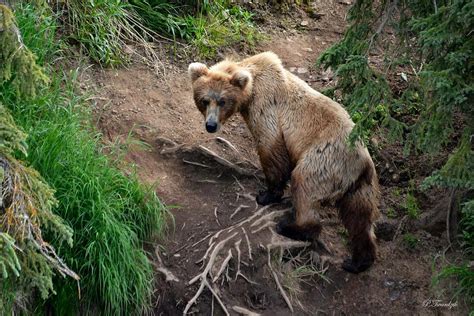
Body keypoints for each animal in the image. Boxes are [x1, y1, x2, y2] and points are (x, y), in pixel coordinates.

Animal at [187, 52, 380, 274]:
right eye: (204, 100)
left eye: (222, 101)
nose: (210, 125)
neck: (250, 90)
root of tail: (363, 161)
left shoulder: (265, 109)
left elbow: (272, 150)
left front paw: (266, 194)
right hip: (357, 184)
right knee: (359, 218)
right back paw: (357, 261)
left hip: (324, 158)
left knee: (305, 185)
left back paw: (292, 227)